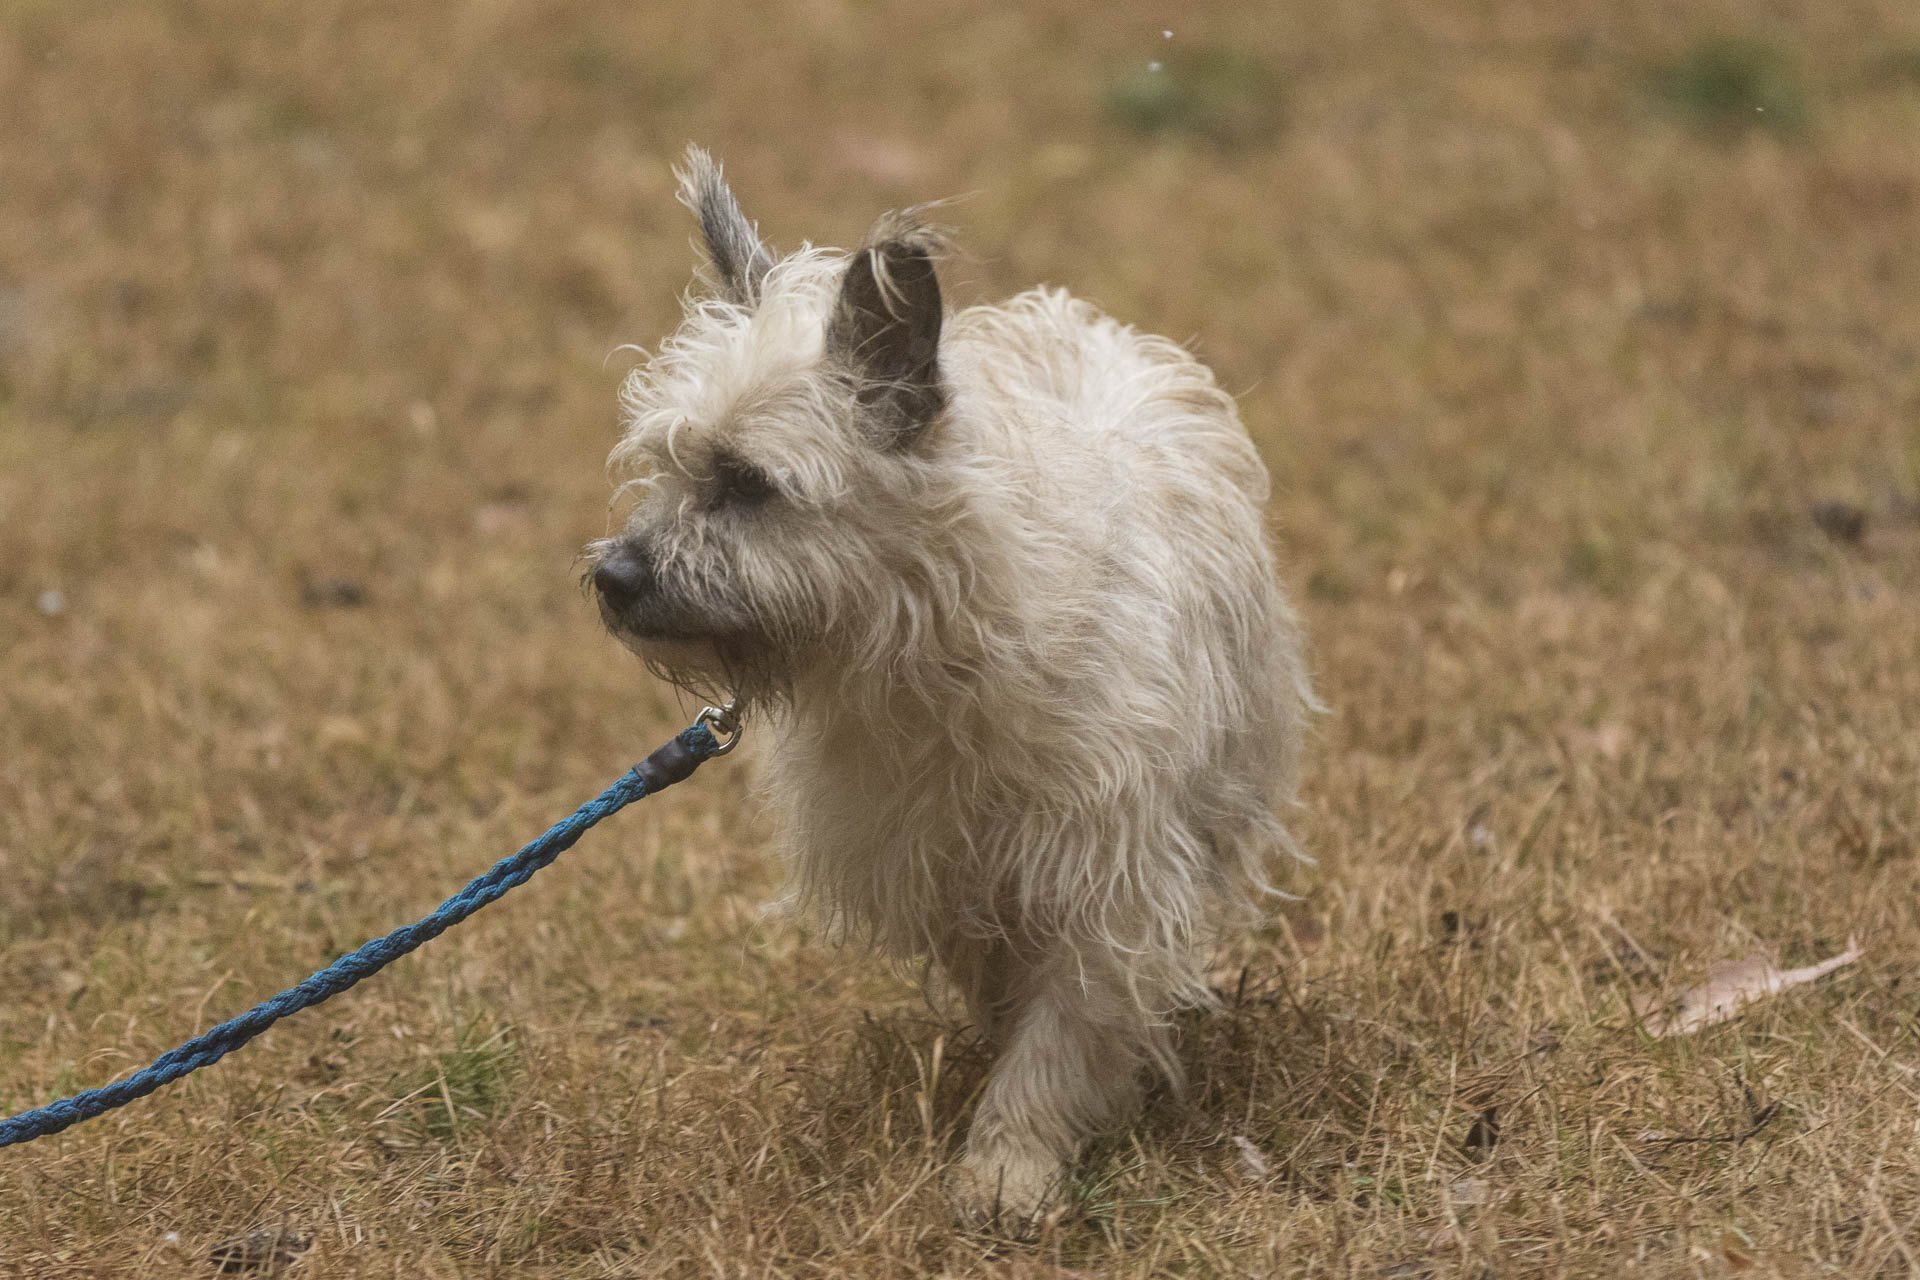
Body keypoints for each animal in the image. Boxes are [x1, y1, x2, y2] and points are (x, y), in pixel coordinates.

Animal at [588, 146, 1313, 1225]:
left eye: (748, 481)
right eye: (666, 467)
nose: (613, 578)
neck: (929, 656)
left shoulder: (1107, 870)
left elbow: (1064, 1023)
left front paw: (1011, 1163)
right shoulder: (940, 863)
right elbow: (1011, 984)